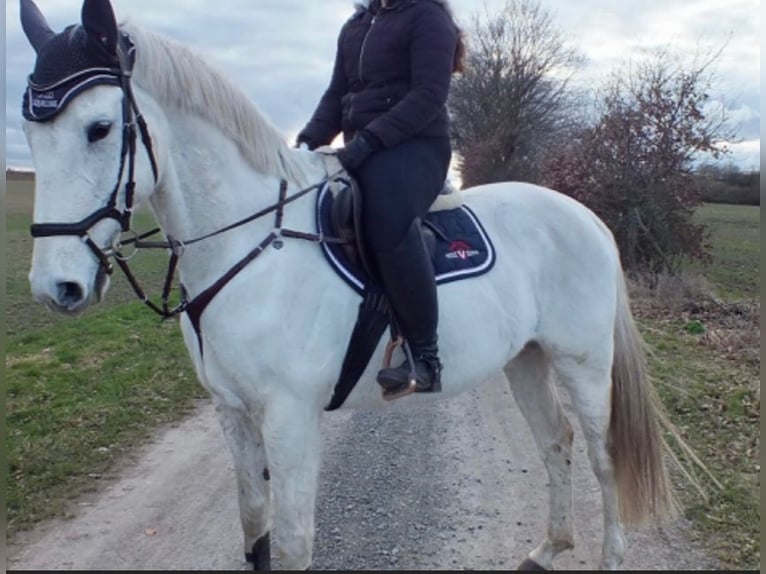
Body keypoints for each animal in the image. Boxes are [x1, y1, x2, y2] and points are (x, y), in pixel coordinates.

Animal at [18, 0, 680, 568]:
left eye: (100, 129)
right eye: (30, 136)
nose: (57, 287)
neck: (251, 247)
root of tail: (586, 217)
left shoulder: (290, 419)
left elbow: (292, 543)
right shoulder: (232, 413)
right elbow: (253, 525)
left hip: (583, 363)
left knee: (602, 457)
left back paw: (609, 557)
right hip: (526, 359)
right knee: (554, 441)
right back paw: (548, 549)